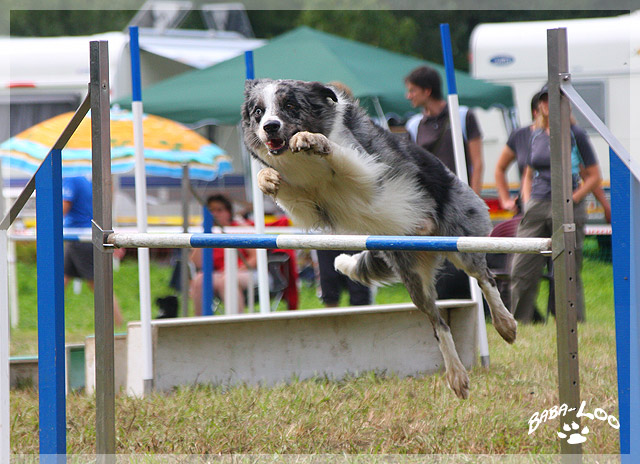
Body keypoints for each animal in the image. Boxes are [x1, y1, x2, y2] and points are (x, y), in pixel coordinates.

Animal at [242, 80, 516, 398]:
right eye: (258, 112)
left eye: (290, 106)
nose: (270, 127)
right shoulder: (310, 204)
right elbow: (283, 187)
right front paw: (266, 178)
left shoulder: (366, 173)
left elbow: (339, 153)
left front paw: (312, 140)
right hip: (413, 277)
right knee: (438, 323)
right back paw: (457, 376)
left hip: (462, 241)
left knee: (486, 278)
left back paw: (505, 324)